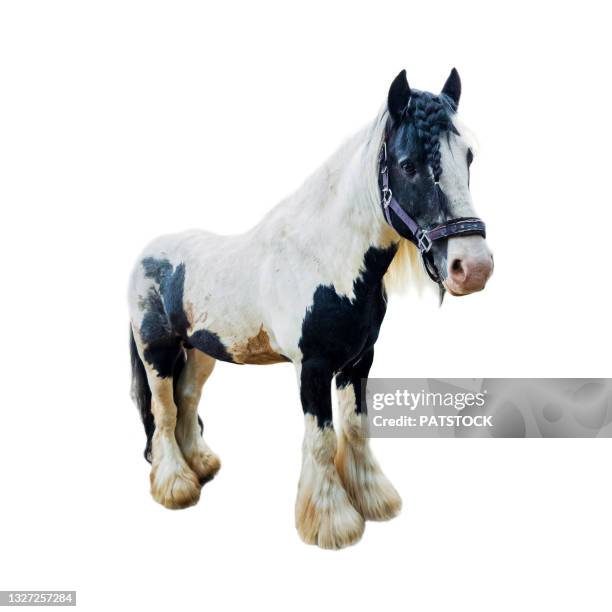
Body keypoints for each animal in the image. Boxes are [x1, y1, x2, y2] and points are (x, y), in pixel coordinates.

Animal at [128, 68, 492, 548]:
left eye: (467, 157)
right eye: (408, 164)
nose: (473, 267)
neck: (326, 261)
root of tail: (146, 255)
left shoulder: (358, 362)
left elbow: (354, 427)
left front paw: (373, 500)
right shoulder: (313, 367)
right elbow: (320, 439)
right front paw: (332, 523)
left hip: (201, 352)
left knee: (187, 401)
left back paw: (201, 466)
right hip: (158, 352)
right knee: (164, 410)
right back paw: (175, 486)